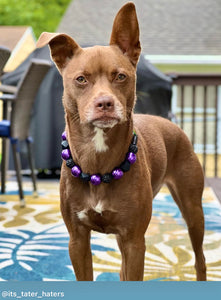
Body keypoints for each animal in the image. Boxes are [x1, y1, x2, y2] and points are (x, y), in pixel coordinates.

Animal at [36, 2, 207, 282]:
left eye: (120, 76)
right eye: (81, 79)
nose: (105, 103)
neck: (98, 161)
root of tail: (172, 125)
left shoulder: (135, 241)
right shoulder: (77, 240)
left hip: (192, 208)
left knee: (200, 258)